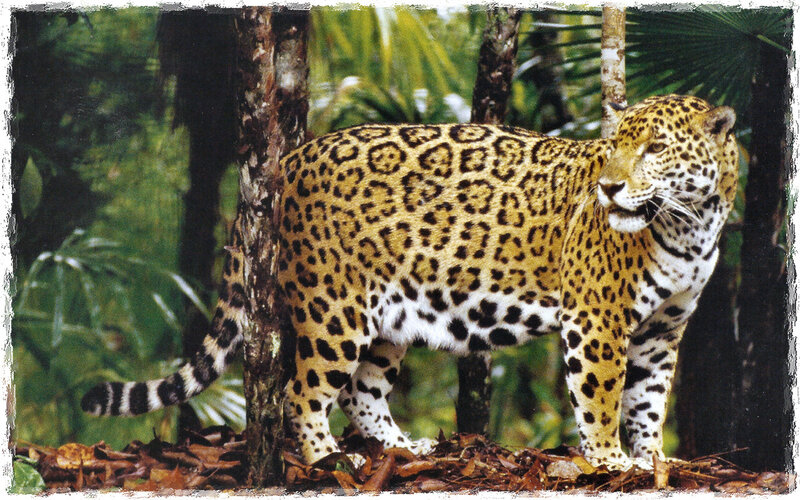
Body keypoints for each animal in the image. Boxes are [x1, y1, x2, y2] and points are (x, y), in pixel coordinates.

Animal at [82, 94, 738, 471]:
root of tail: (288, 159)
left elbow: (648, 398)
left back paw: (402, 449)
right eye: (612, 148)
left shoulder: (664, 329)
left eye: (654, 148)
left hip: (387, 317)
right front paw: (609, 460)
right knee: (303, 390)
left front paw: (653, 459)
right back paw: (330, 460)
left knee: (362, 392)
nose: (608, 188)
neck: (690, 224)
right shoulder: (597, 318)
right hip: (333, 307)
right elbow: (601, 395)